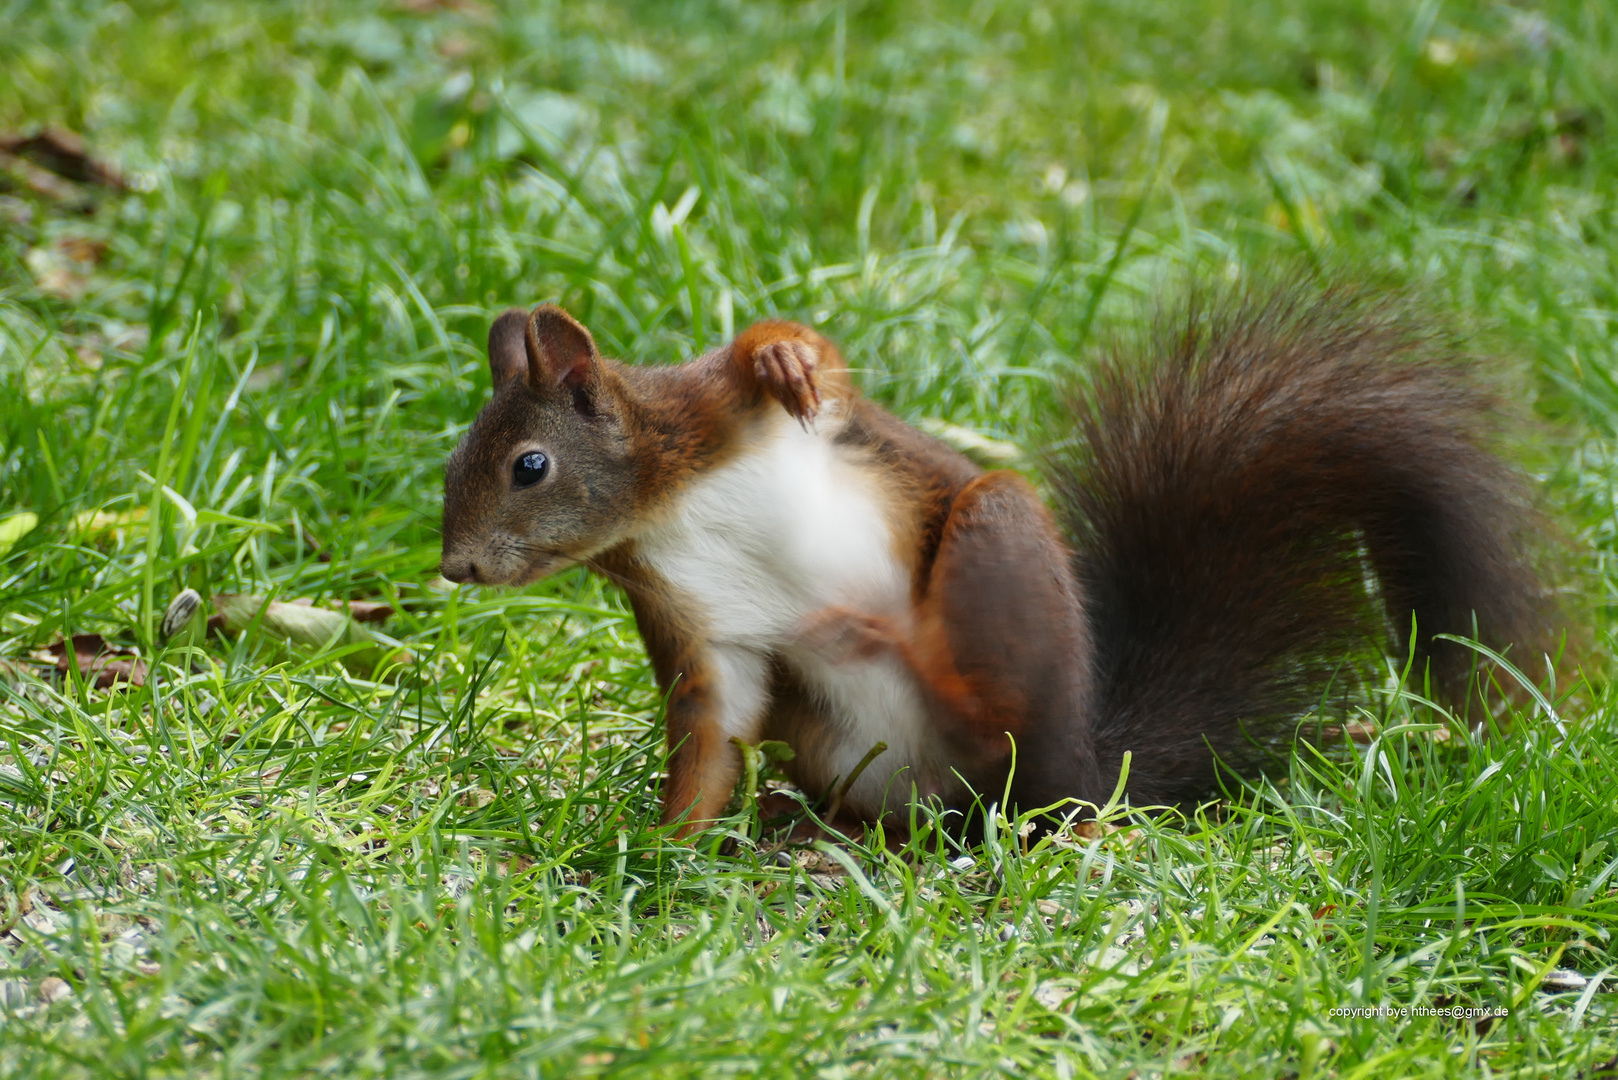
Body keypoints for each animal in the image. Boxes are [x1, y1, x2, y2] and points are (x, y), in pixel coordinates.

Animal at [436, 284, 1546, 835]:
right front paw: (657, 853)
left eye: (529, 465)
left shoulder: (713, 412)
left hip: (998, 543)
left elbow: (796, 362)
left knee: (1004, 729)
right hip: (855, 750)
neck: (665, 513)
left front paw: (785, 357)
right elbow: (711, 737)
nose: (457, 568)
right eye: (453, 463)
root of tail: (1094, 759)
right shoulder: (698, 625)